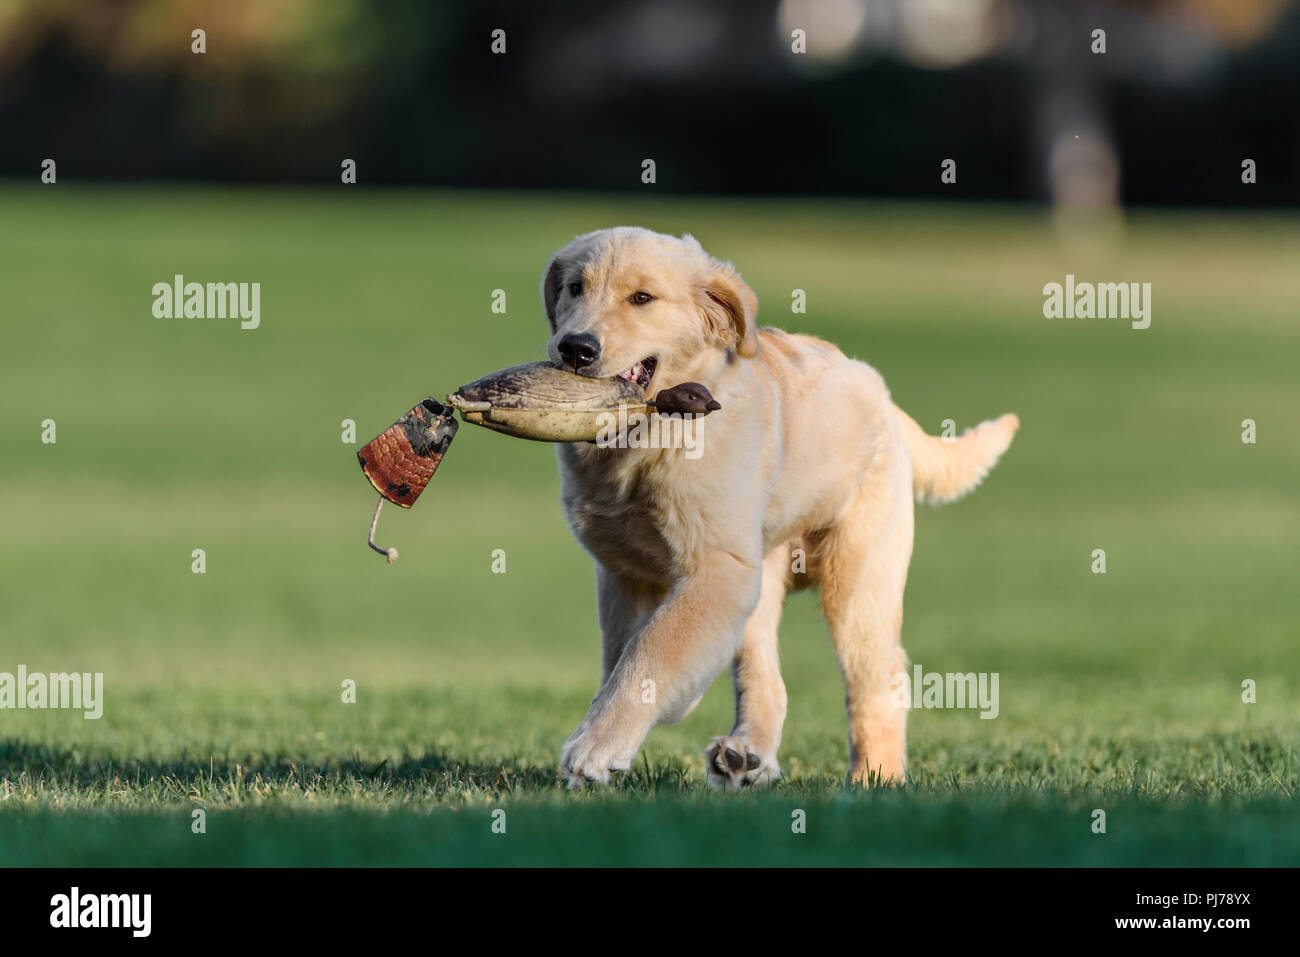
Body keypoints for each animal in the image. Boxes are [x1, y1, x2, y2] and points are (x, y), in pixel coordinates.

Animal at [538, 227, 1013, 790]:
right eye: (575, 288)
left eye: (642, 298)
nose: (575, 348)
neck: (648, 442)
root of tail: (885, 398)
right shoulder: (626, 573)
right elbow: (626, 656)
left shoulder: (716, 570)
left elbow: (652, 651)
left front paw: (595, 747)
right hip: (761, 577)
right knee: (768, 677)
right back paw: (747, 755)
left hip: (858, 582)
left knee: (879, 679)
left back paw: (875, 778)